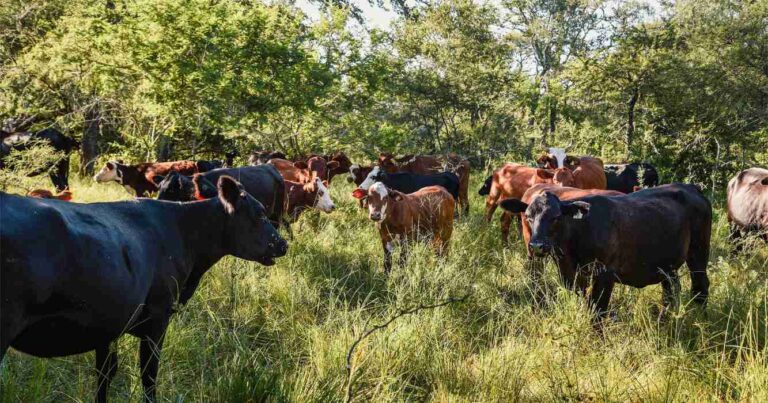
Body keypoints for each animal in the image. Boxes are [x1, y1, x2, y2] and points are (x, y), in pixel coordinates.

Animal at [0, 178, 288, 403]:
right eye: (259, 214)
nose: (283, 244)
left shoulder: (108, 322)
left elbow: (105, 374)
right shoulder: (158, 316)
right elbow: (149, 374)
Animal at [500, 185, 712, 320]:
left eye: (556, 217)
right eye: (528, 217)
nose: (537, 245)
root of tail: (691, 188)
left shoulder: (605, 274)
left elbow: (597, 311)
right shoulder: (573, 275)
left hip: (698, 252)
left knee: (700, 286)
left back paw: (700, 320)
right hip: (667, 266)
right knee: (670, 291)